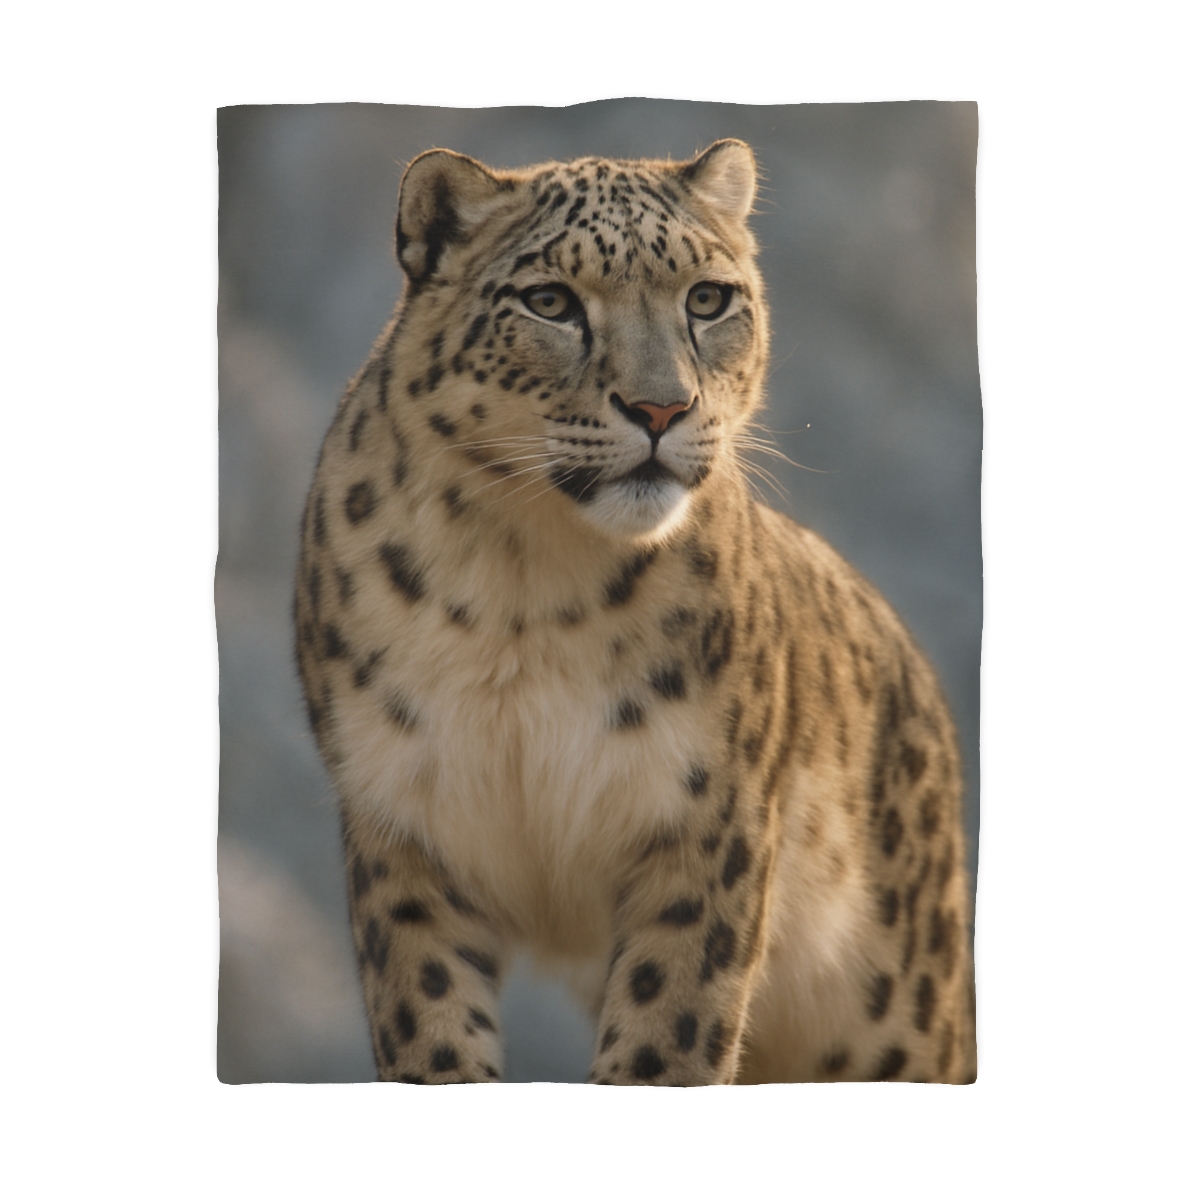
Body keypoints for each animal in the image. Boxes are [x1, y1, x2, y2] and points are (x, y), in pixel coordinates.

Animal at [293, 138, 977, 1085]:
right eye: (550, 301)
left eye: (707, 298)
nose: (662, 407)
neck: (523, 584)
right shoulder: (405, 828)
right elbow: (432, 1031)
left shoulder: (705, 829)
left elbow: (665, 1040)